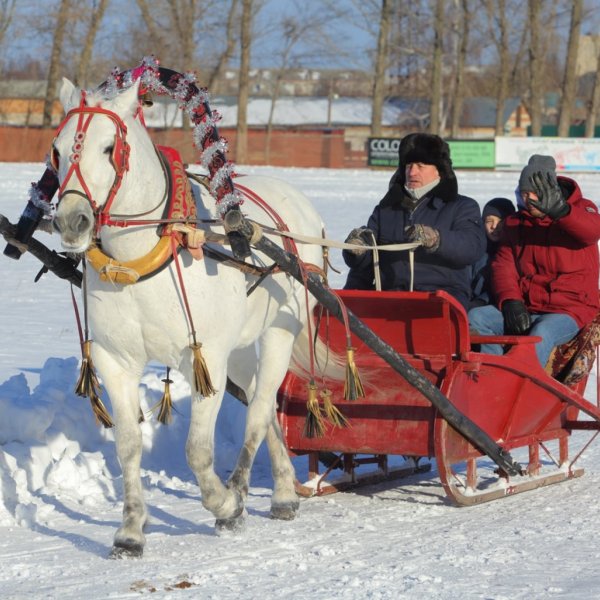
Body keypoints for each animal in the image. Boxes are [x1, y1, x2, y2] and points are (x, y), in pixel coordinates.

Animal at [51, 78, 338, 556]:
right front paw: (130, 530)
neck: (140, 262)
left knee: (260, 410)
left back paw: (244, 489)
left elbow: (198, 452)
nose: (72, 222)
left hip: (279, 332)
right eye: (56, 150)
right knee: (263, 403)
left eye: (110, 148)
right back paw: (283, 491)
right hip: (240, 350)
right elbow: (127, 445)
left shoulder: (205, 360)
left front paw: (226, 505)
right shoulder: (115, 361)